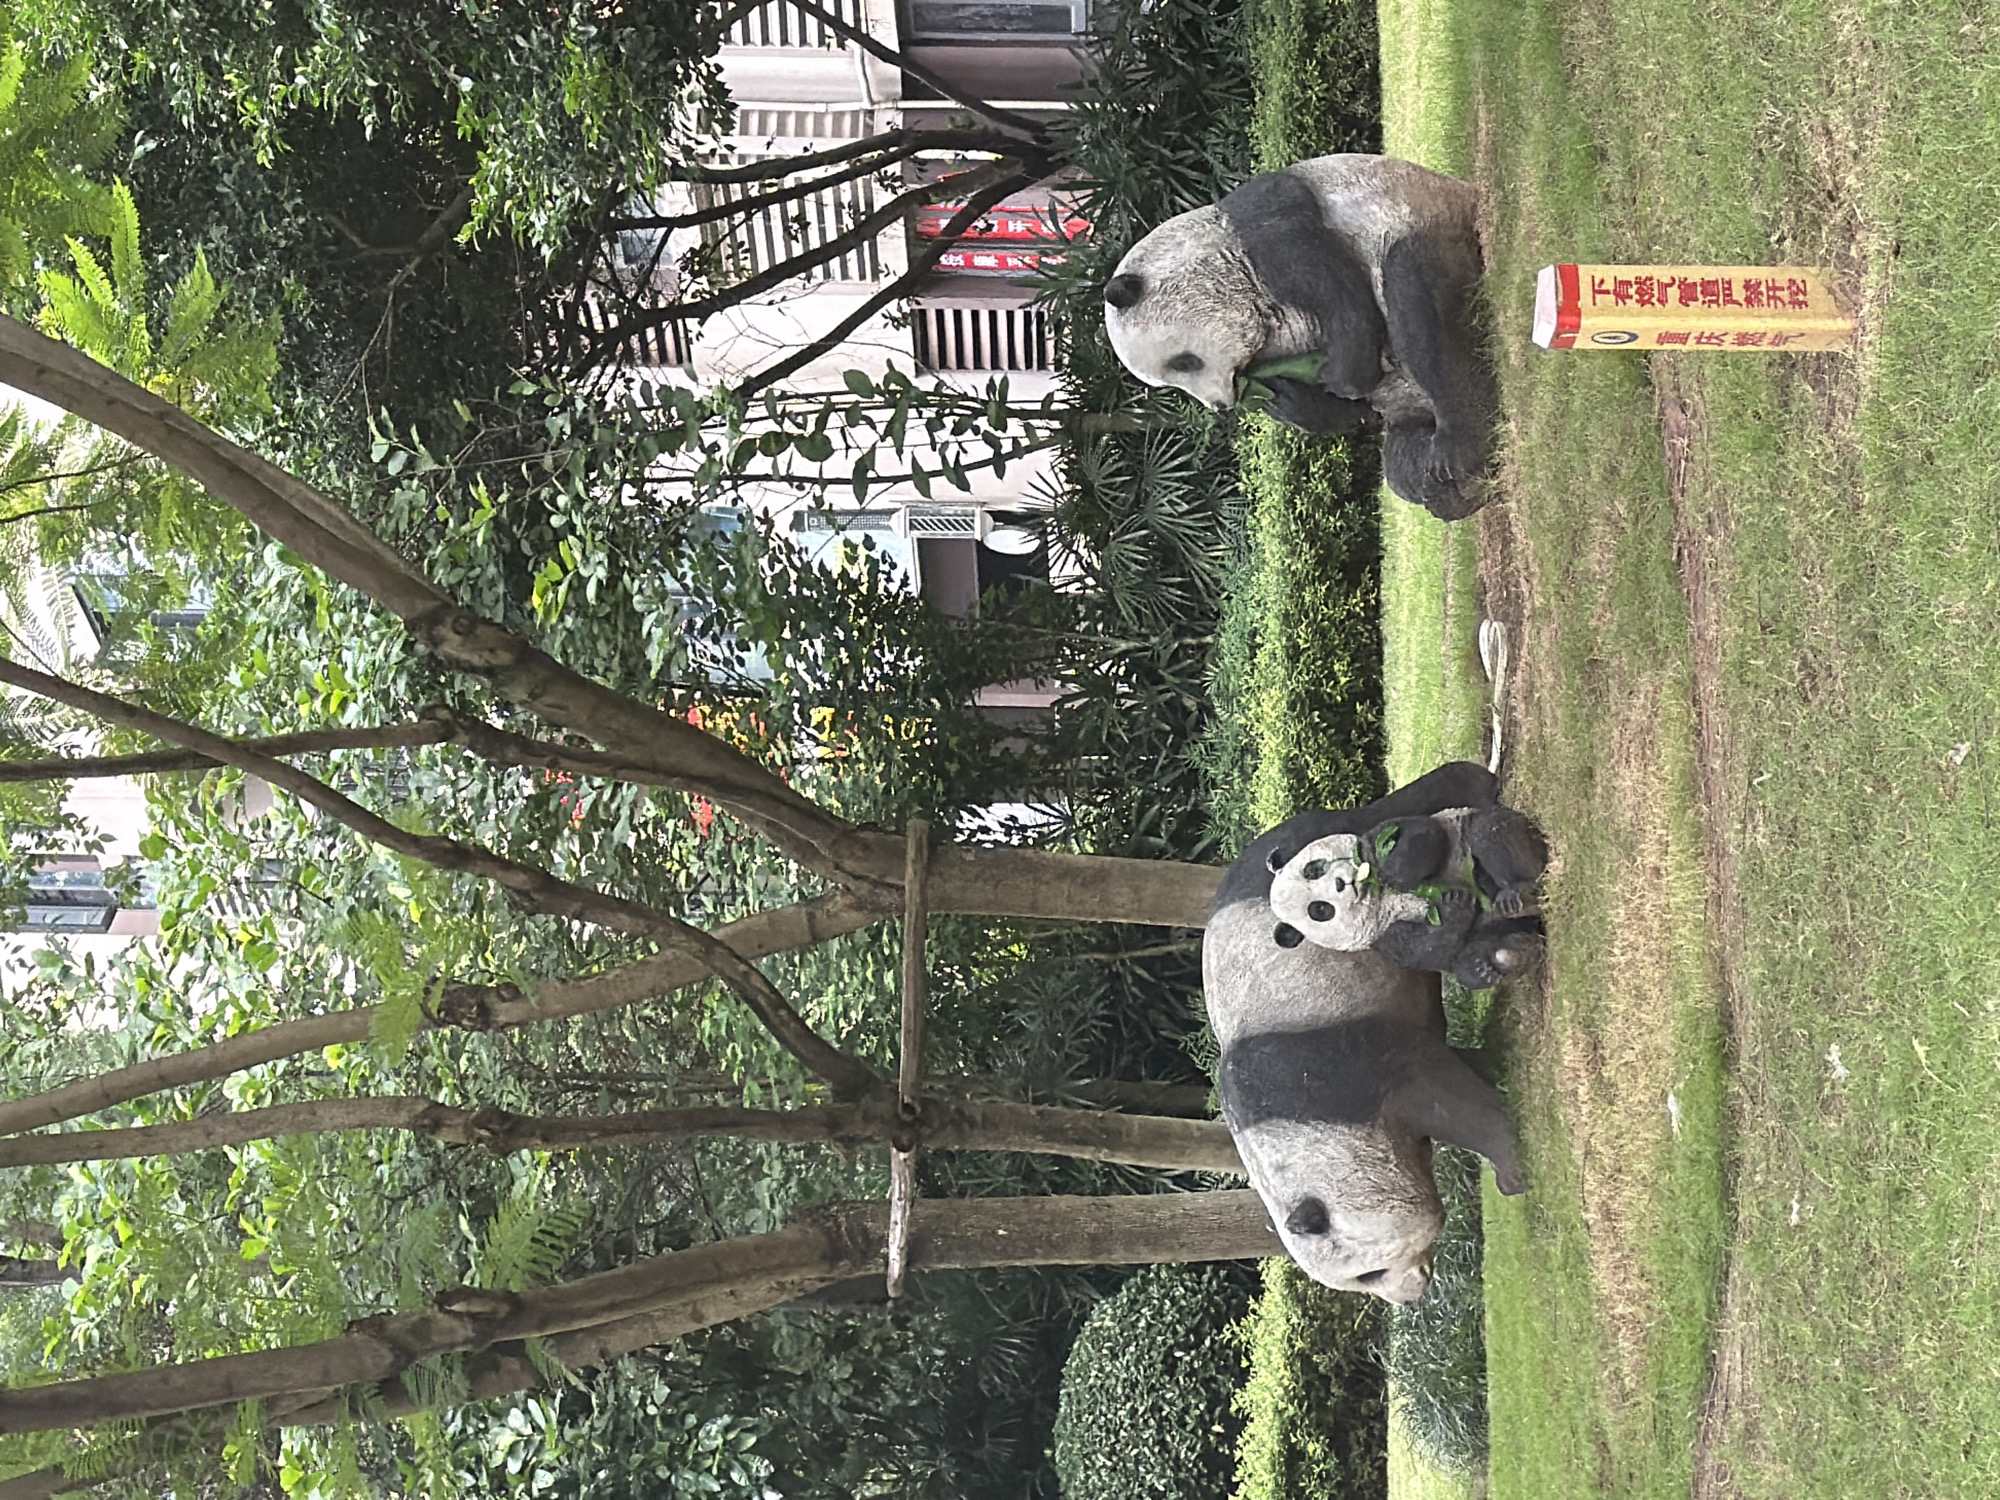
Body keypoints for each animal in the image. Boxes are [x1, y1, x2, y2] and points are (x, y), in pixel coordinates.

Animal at [1103, 154, 1496, 521]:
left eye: (1184, 362)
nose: (1222, 406)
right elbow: (1356, 412)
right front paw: (1285, 397)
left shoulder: (1272, 227)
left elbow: (1334, 288)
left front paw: (1343, 376)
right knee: (1401, 466)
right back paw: (1444, 487)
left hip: (1440, 229)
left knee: (1417, 300)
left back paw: (1458, 449)